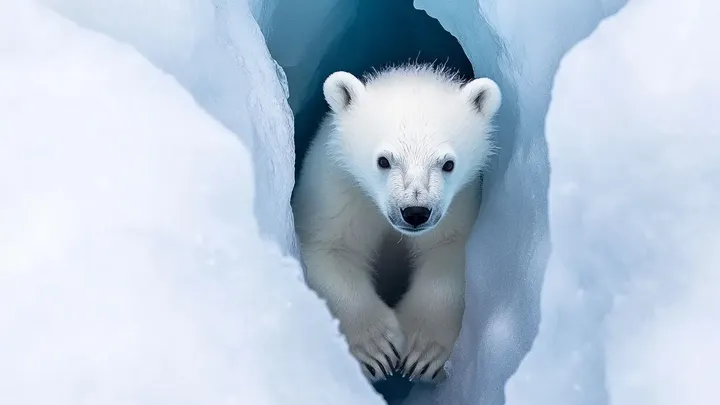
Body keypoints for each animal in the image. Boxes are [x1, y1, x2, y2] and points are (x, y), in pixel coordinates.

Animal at [292, 64, 501, 383]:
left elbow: (447, 255)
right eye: (383, 160)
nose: (415, 212)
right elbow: (331, 250)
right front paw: (377, 350)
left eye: (448, 164)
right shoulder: (338, 193)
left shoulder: (459, 204)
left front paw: (421, 353)